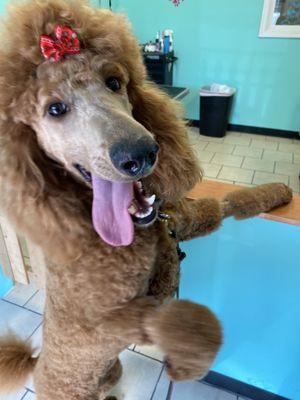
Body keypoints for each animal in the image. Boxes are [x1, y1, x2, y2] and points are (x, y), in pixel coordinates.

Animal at [0, 1, 292, 398]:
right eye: (55, 109)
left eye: (114, 82)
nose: (140, 153)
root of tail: (35, 365)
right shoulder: (103, 322)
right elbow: (172, 318)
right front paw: (198, 347)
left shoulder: (182, 221)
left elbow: (232, 201)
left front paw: (279, 192)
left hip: (113, 370)